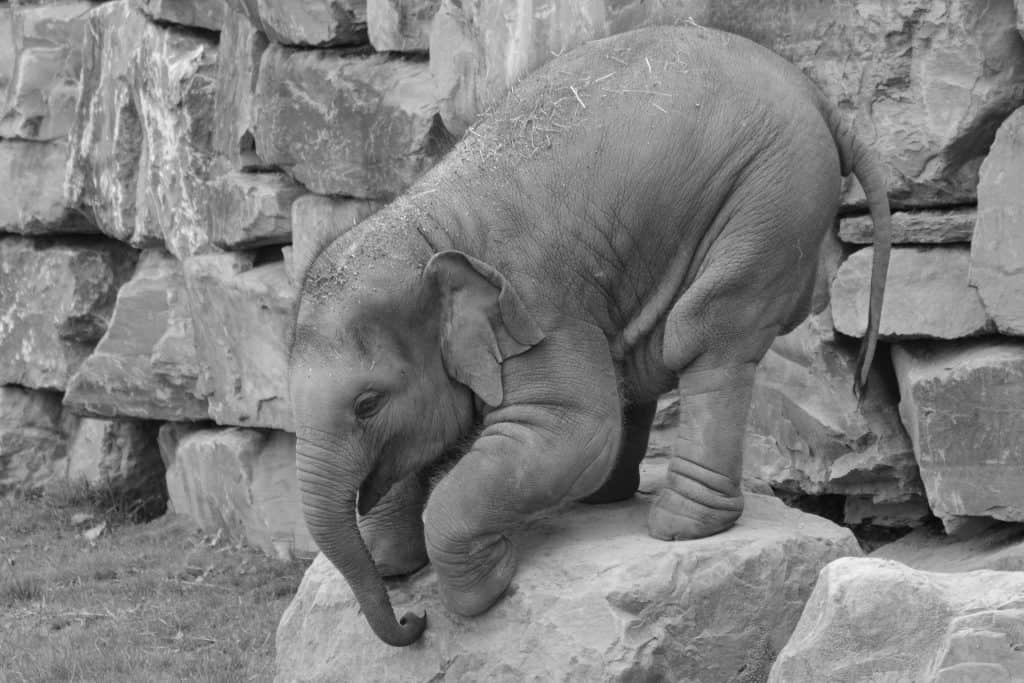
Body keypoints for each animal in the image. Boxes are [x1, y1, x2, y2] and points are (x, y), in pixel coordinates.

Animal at [286, 25, 888, 647]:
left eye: (367, 403)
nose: (412, 620)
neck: (424, 225)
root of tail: (818, 95)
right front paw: (392, 563)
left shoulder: (536, 307)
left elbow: (571, 430)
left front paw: (491, 578)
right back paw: (607, 500)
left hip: (772, 197)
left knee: (707, 334)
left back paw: (680, 527)